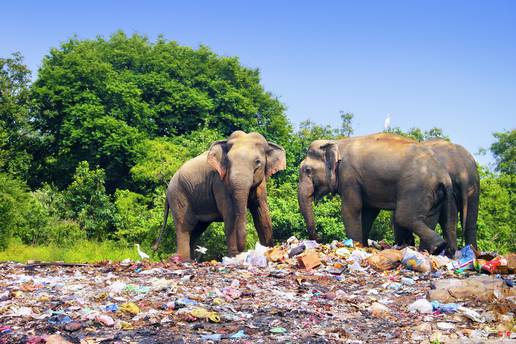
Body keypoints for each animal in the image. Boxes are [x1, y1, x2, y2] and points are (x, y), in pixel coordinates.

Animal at [151, 130, 286, 260]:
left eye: (258, 162)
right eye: (228, 161)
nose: (244, 250)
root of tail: (168, 187)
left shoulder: (261, 185)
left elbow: (262, 214)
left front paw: (268, 251)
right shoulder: (219, 182)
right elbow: (229, 213)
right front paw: (234, 256)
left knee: (197, 228)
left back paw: (191, 260)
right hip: (178, 195)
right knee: (185, 226)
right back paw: (184, 260)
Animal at [296, 133, 458, 256]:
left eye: (308, 170)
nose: (319, 238)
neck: (337, 142)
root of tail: (443, 175)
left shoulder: (349, 175)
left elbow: (352, 209)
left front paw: (355, 246)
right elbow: (368, 212)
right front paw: (363, 246)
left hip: (416, 188)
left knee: (404, 217)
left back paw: (438, 246)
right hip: (435, 193)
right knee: (440, 220)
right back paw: (431, 251)